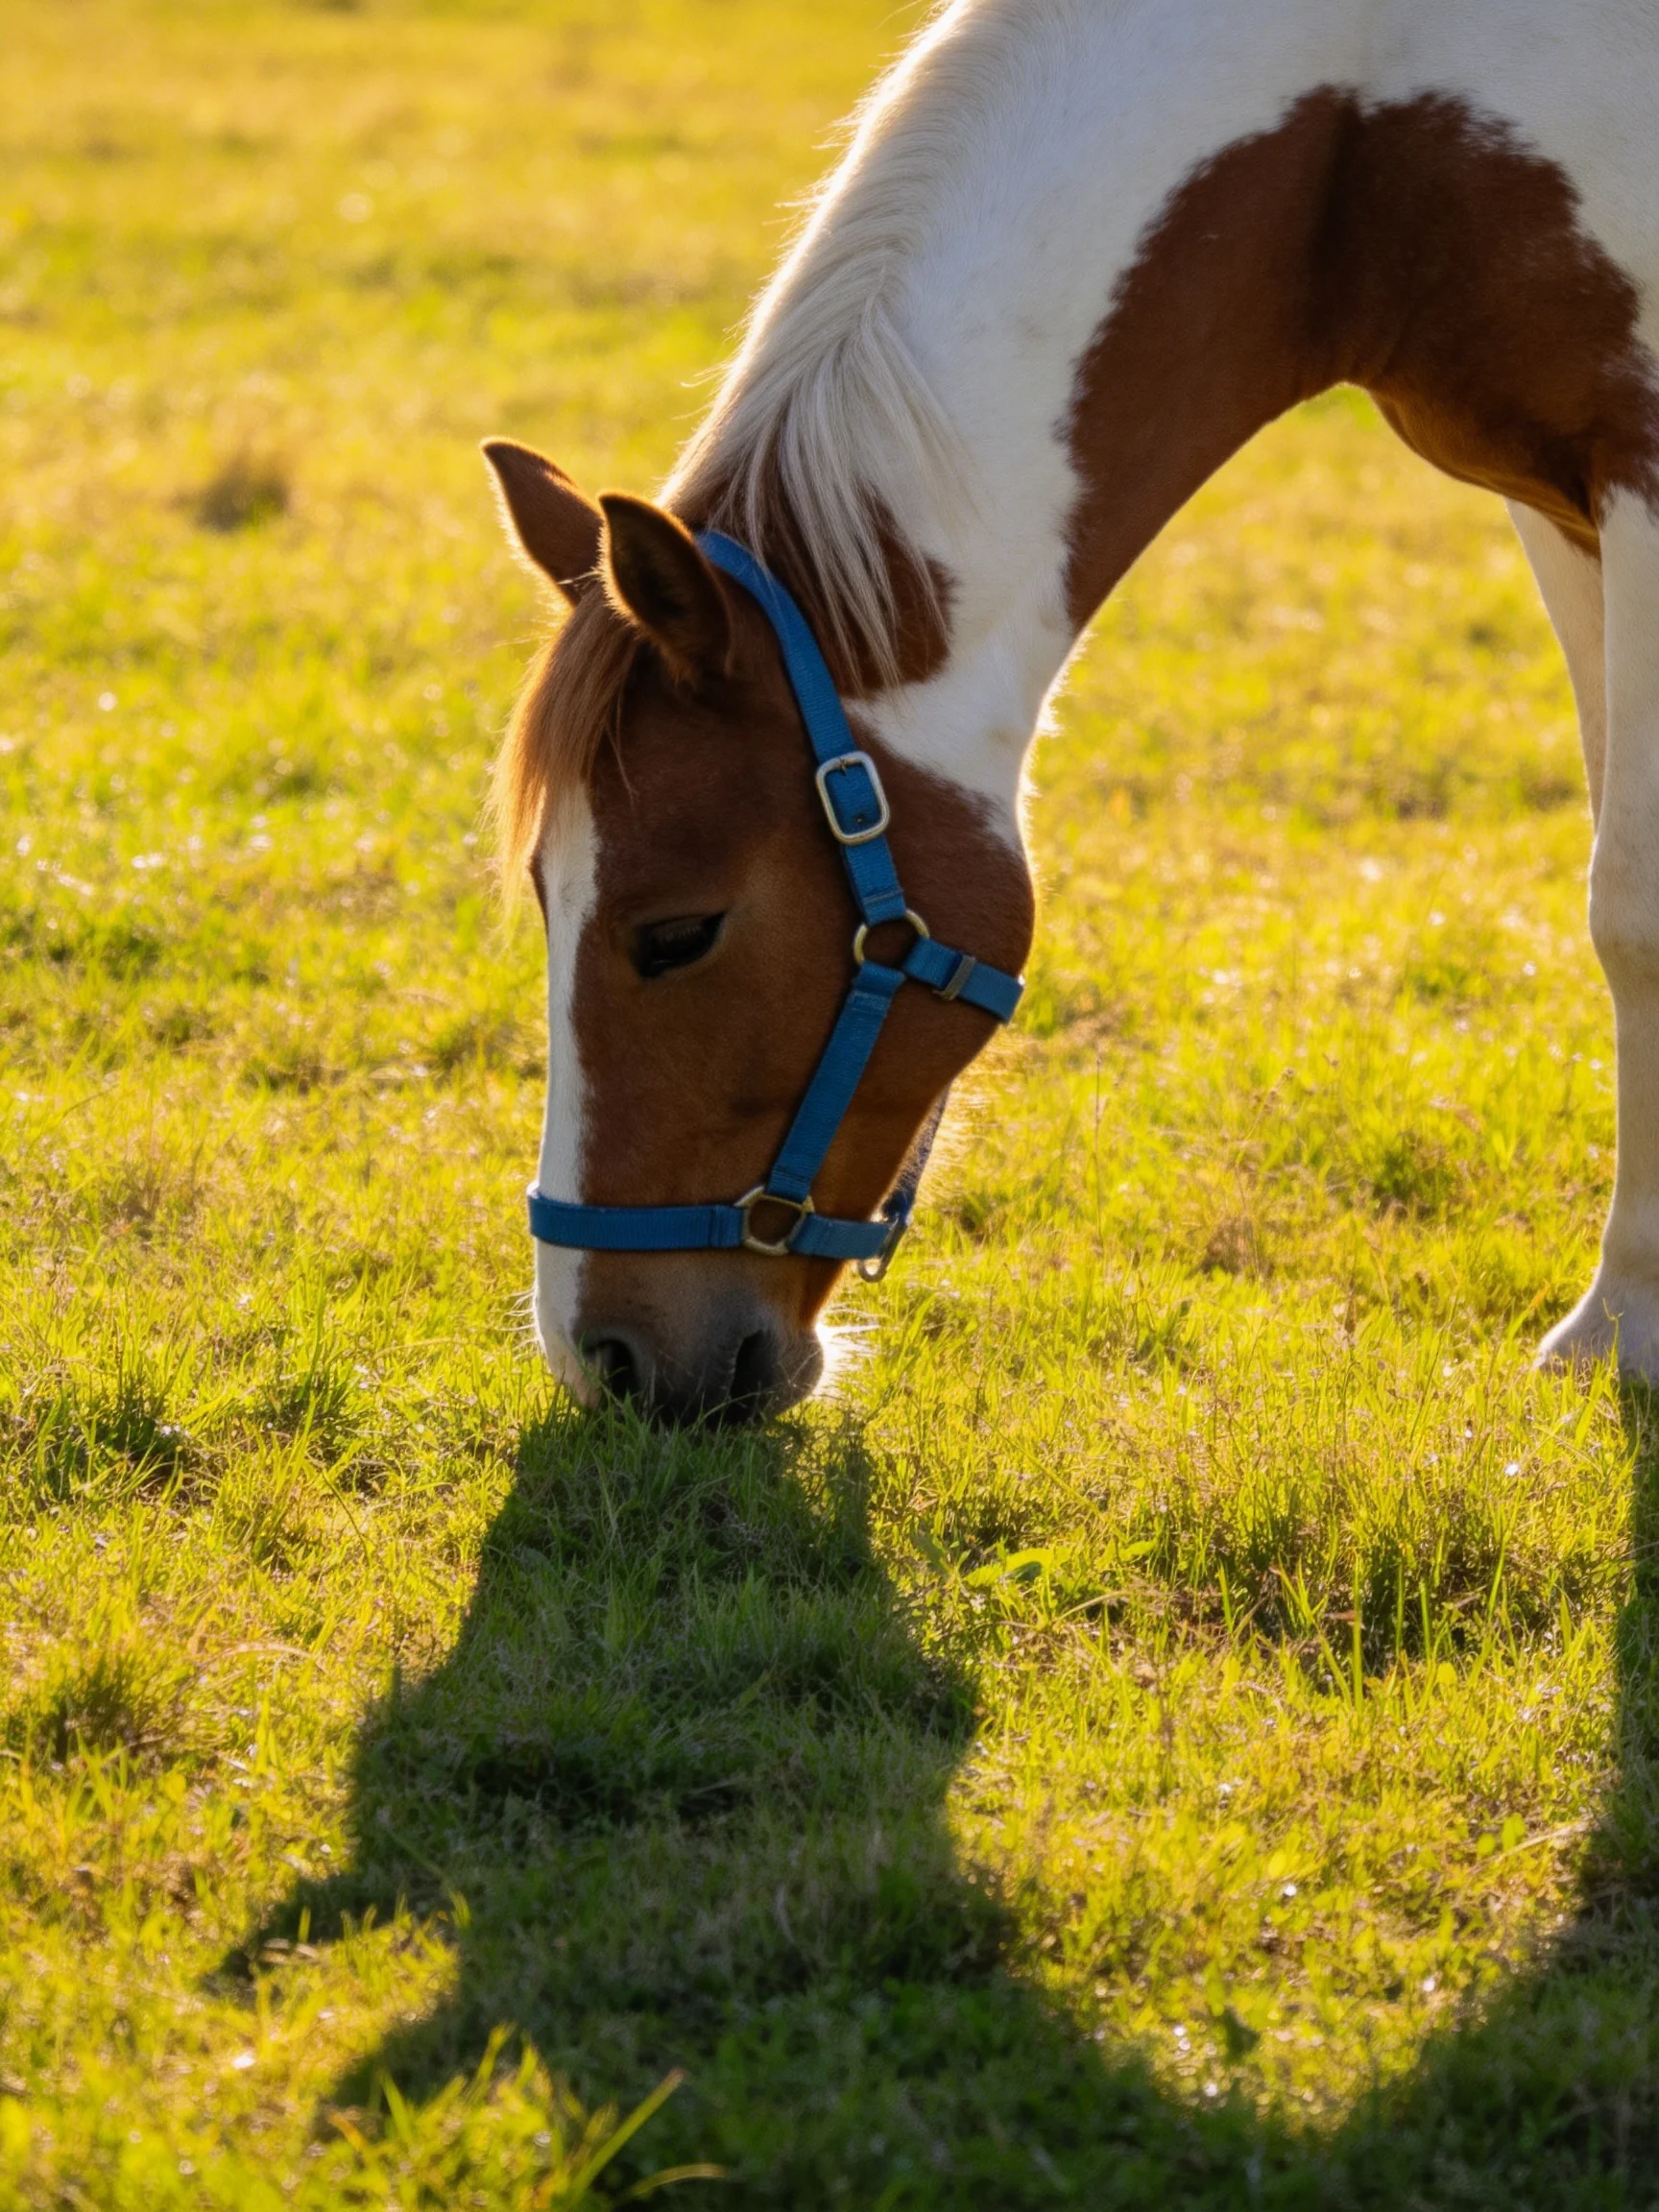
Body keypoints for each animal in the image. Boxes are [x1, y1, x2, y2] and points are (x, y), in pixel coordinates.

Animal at [483, 0, 1659, 1426]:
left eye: (677, 934)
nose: (602, 1359)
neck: (1377, 121)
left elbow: (1635, 913)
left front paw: (1625, 1328)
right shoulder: (1559, 506)